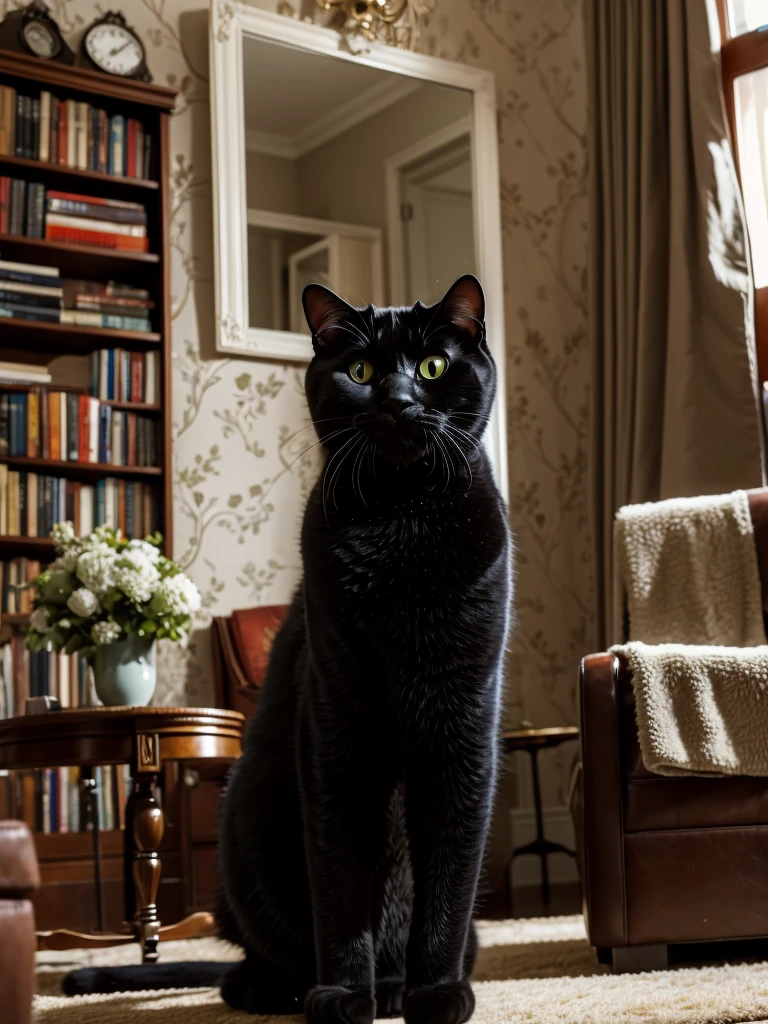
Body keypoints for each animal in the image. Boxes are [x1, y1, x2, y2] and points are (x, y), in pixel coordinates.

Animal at [217, 276, 514, 1024]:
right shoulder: (337, 721)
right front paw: (345, 994)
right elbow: (340, 874)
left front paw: (434, 992)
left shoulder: (460, 725)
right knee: (255, 955)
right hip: (247, 807)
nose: (399, 400)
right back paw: (280, 989)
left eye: (432, 366)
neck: (400, 527)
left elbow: (445, 880)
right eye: (359, 371)